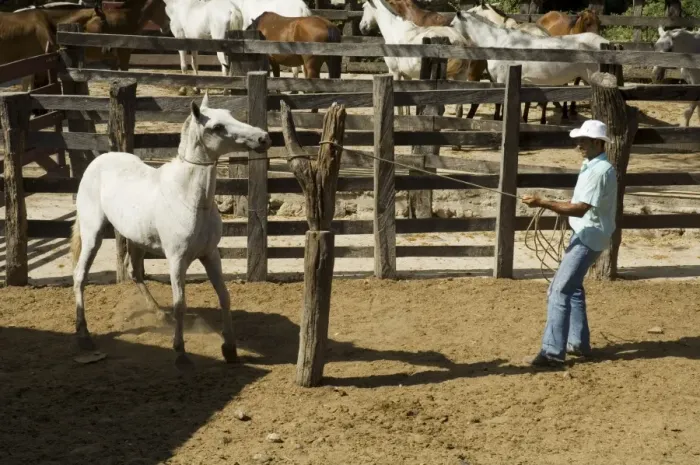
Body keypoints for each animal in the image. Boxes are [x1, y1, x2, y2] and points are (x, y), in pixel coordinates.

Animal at [71, 93, 272, 365]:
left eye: (230, 115)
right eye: (217, 127)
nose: (263, 138)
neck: (190, 199)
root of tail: (96, 162)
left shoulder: (210, 254)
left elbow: (224, 296)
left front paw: (230, 349)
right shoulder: (177, 259)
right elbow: (180, 303)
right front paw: (180, 352)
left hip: (136, 240)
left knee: (135, 273)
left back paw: (159, 315)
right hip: (93, 235)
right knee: (80, 276)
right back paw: (84, 335)